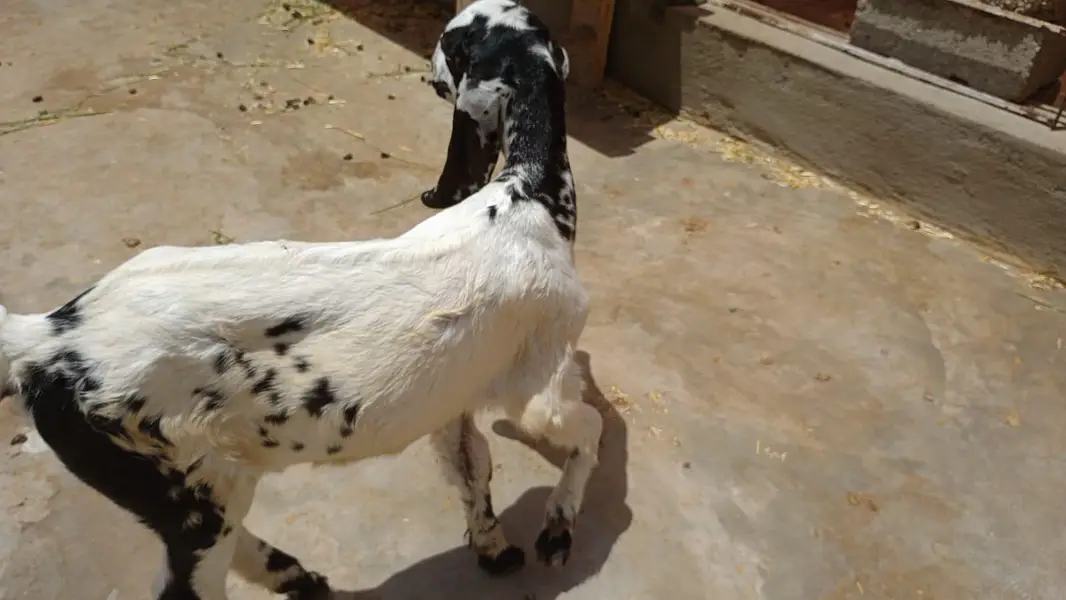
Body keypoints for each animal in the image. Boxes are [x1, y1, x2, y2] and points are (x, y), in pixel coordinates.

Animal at [0, 1, 600, 598]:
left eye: (450, 46)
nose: (429, 72)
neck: (530, 199)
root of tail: (45, 339)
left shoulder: (455, 396)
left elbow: (471, 465)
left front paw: (495, 547)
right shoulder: (540, 378)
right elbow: (585, 427)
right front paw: (557, 532)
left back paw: (298, 575)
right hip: (188, 482)